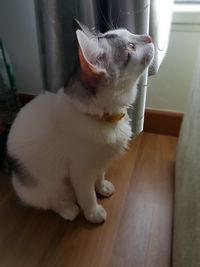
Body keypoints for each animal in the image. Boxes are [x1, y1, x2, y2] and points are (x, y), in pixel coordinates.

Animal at [6, 19, 153, 224]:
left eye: (131, 32)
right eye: (131, 46)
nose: (149, 37)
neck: (104, 118)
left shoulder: (99, 161)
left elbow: (99, 175)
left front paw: (102, 187)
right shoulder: (80, 171)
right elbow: (87, 195)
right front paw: (93, 212)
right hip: (45, 187)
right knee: (52, 202)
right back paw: (68, 209)